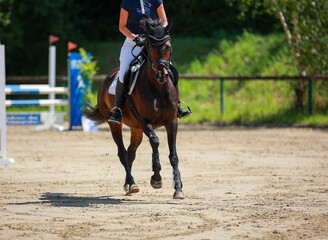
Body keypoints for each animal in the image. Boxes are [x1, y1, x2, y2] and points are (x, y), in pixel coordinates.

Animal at [82, 18, 184, 199]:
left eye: (168, 47)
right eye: (150, 46)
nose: (162, 75)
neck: (158, 87)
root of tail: (108, 77)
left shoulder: (171, 122)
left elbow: (173, 155)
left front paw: (178, 187)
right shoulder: (145, 121)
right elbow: (155, 142)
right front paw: (156, 179)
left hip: (136, 128)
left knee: (131, 153)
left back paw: (129, 185)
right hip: (115, 124)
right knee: (122, 153)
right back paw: (132, 183)